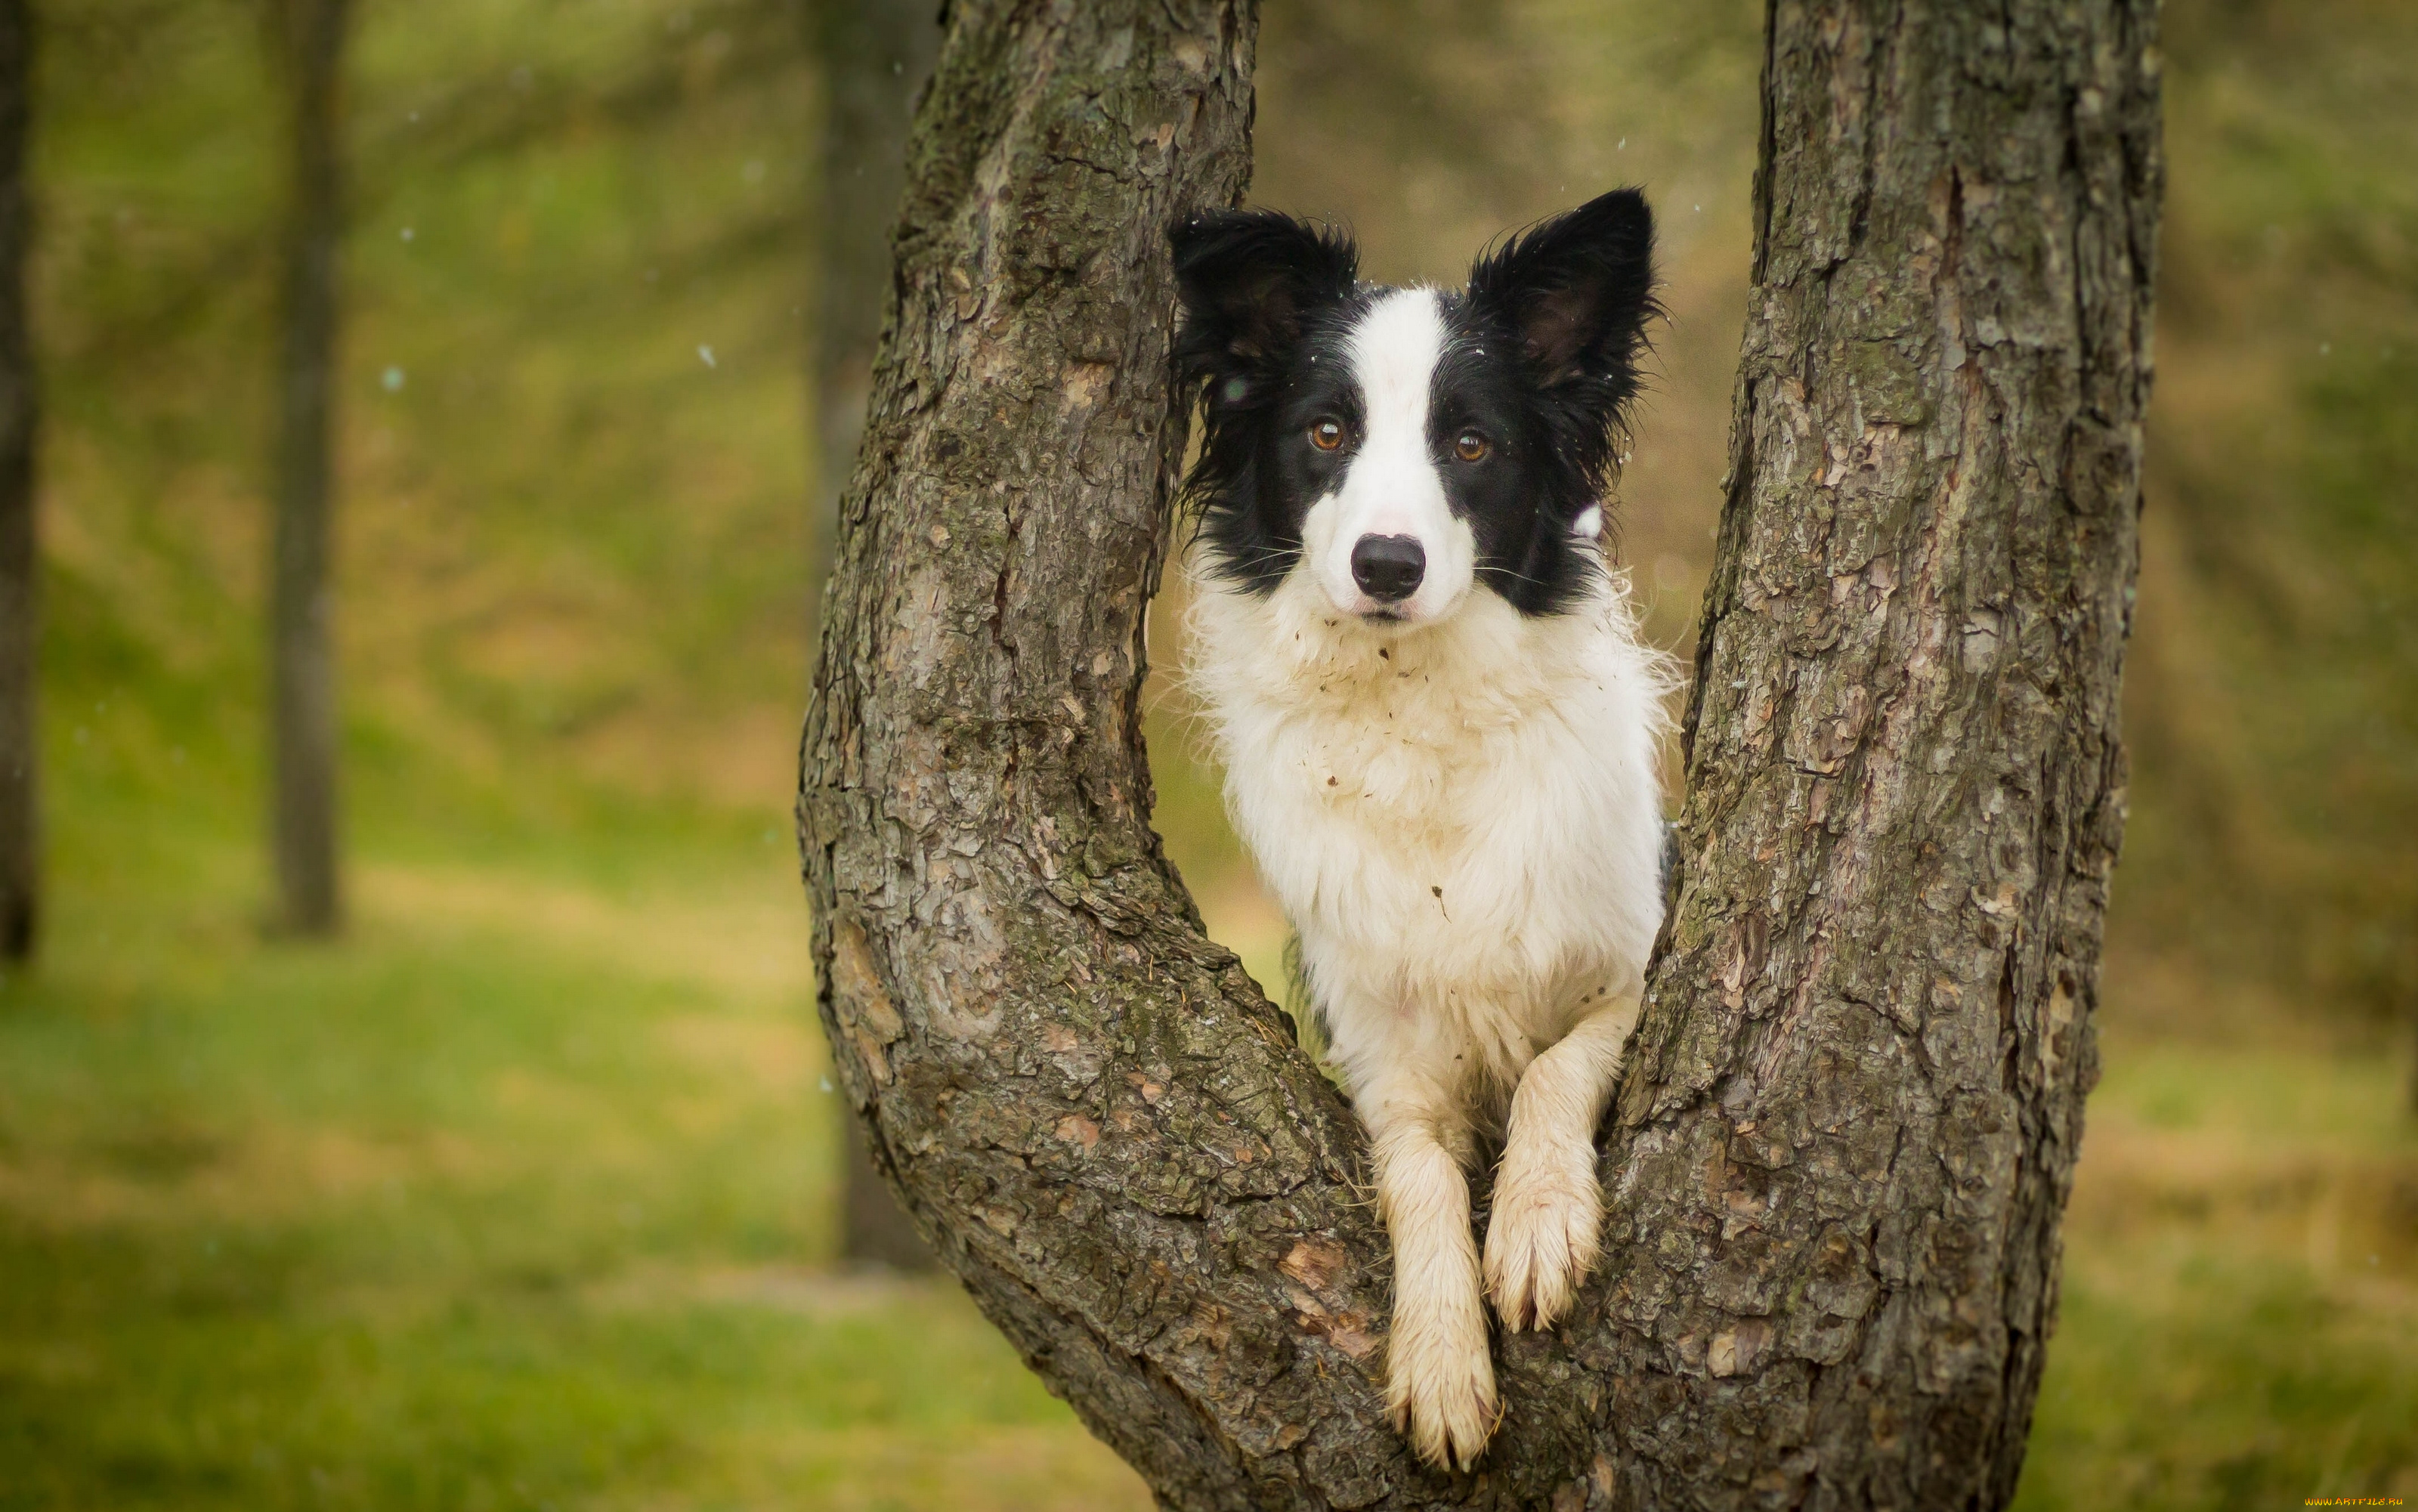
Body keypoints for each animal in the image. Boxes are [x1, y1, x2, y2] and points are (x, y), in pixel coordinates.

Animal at [1175, 186, 1673, 1461]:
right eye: (1325, 435)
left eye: (1472, 446)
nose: (1388, 564)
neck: (1414, 698)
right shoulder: (1381, 1045)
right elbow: (1419, 1181)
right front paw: (1441, 1358)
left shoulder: (1634, 959)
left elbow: (1555, 1061)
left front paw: (1538, 1222)